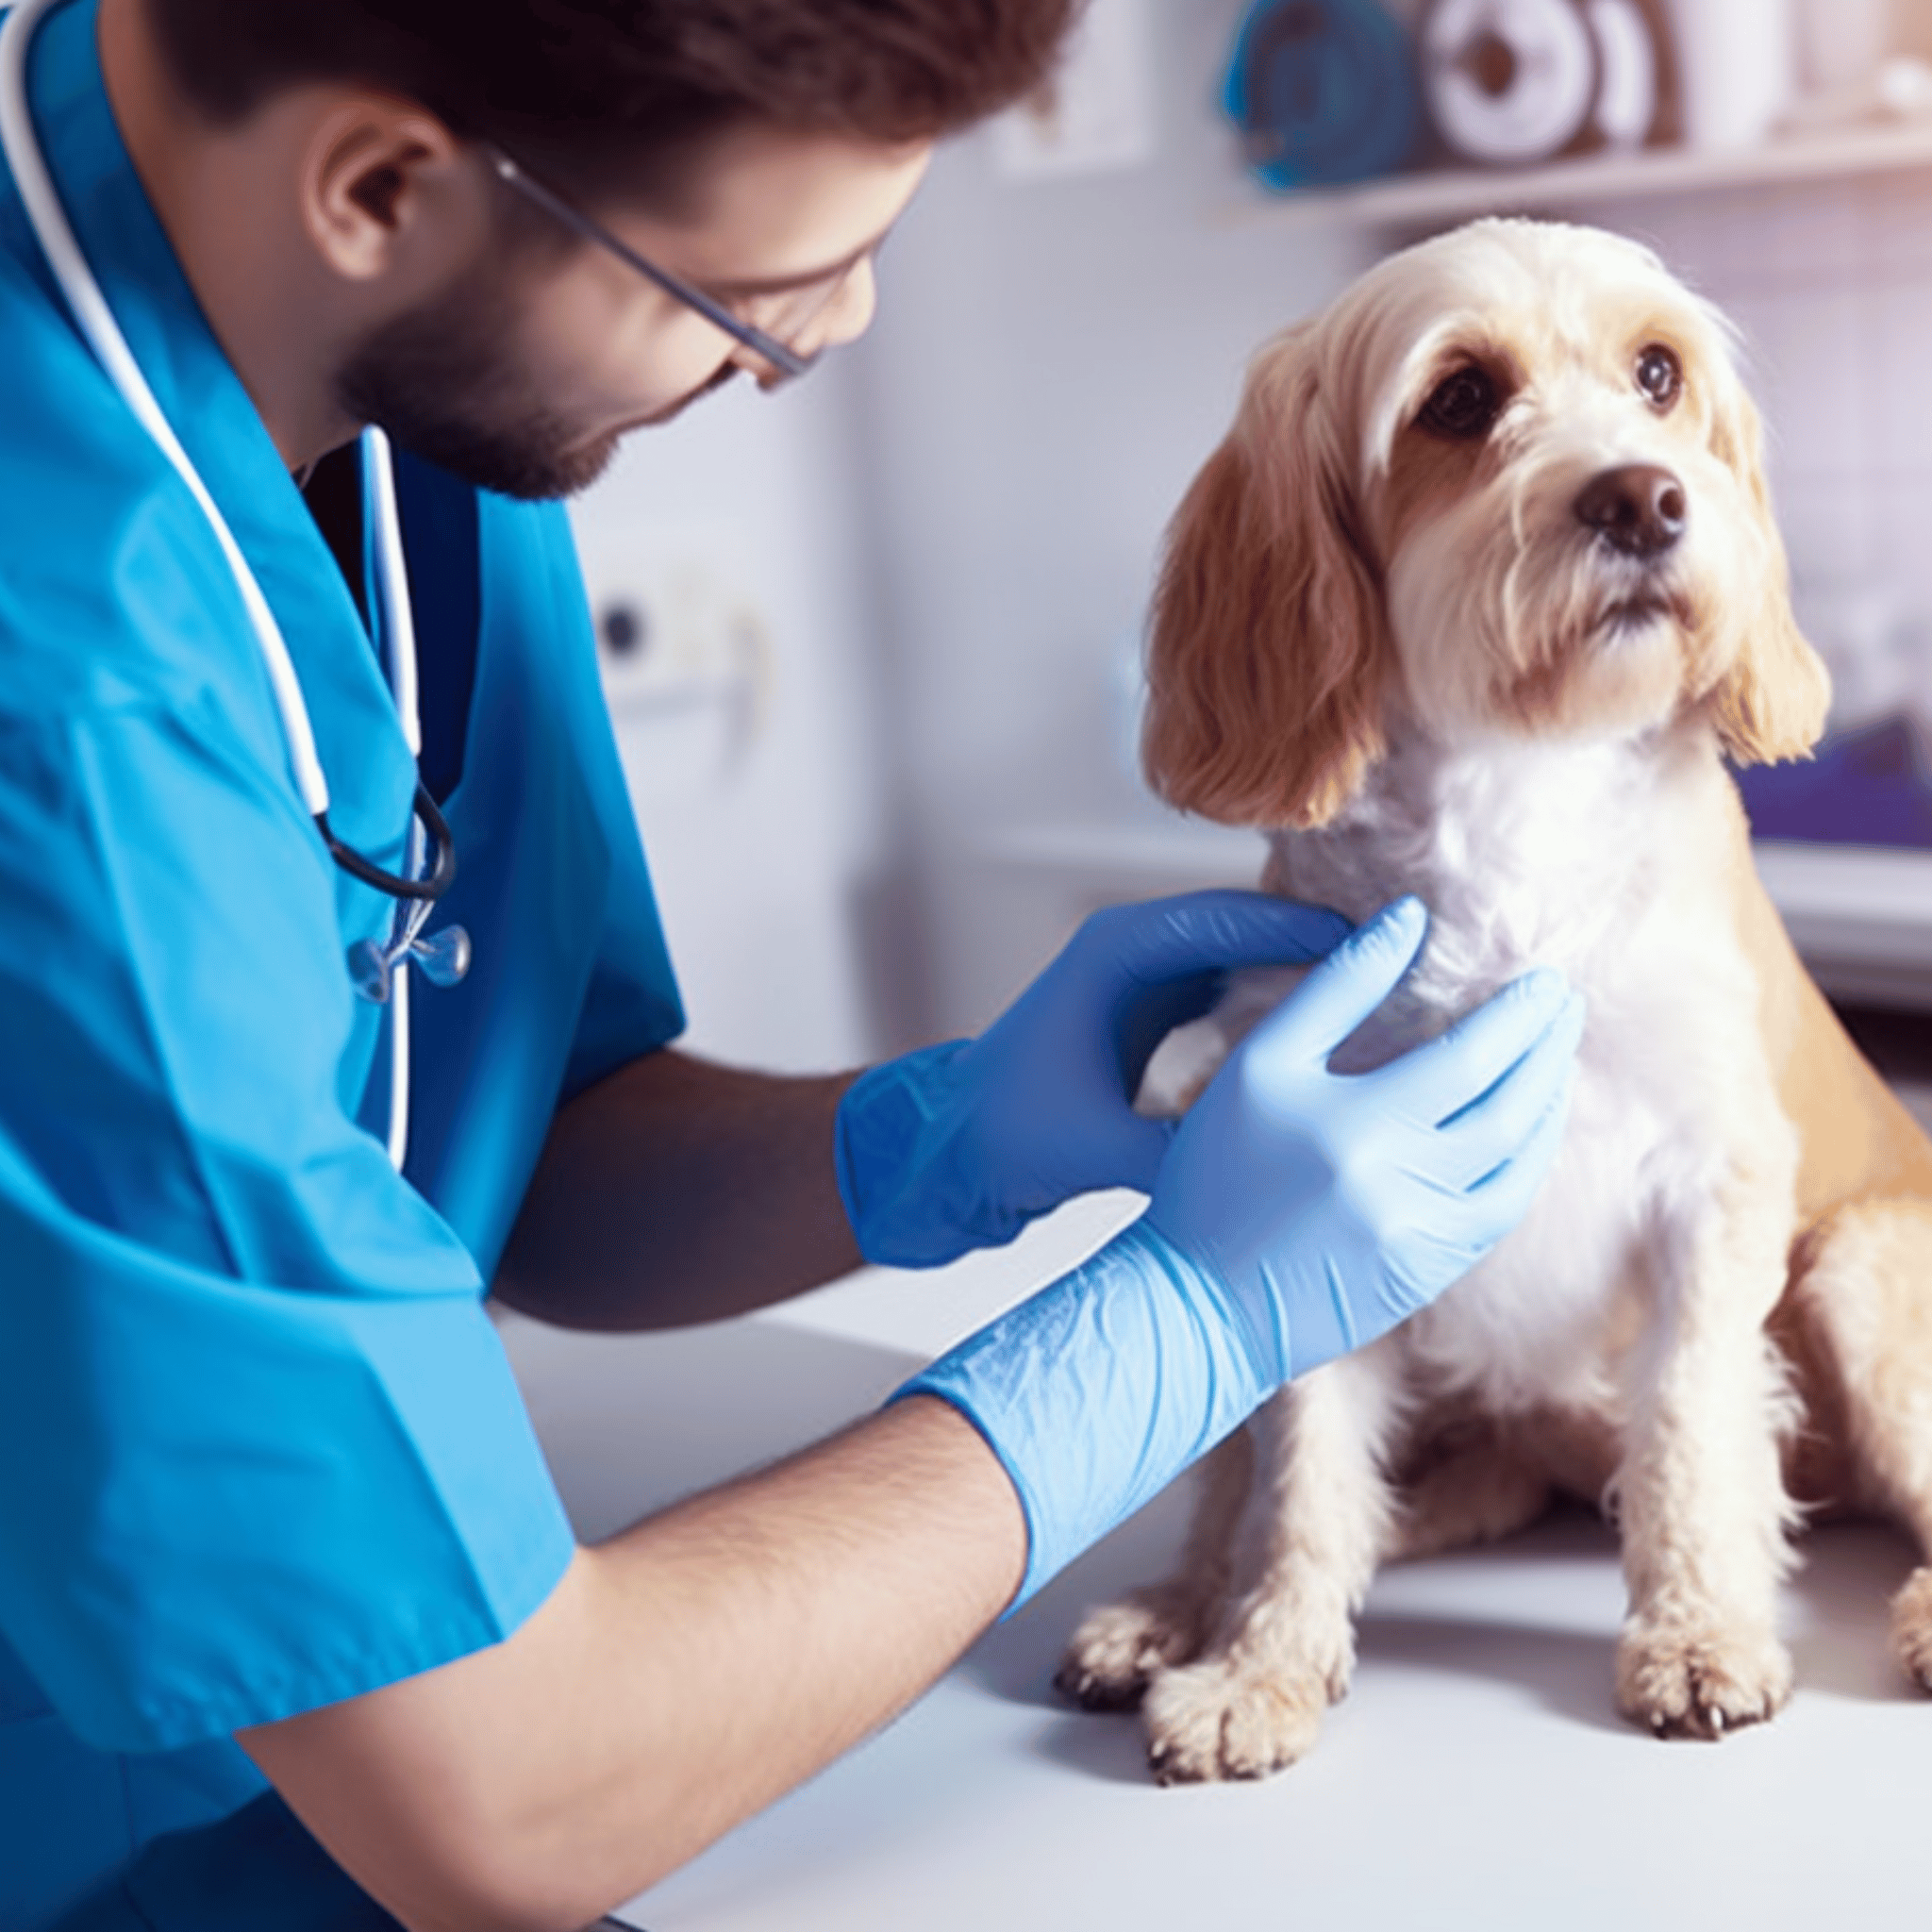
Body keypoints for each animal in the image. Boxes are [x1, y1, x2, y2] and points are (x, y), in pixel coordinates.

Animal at [1058, 215, 1932, 1777]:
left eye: (1658, 376)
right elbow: (1301, 1487)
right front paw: (1262, 1669)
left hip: (1858, 1270)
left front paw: (1699, 1634)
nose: (1646, 498)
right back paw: (1174, 1610)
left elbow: (1691, 1426)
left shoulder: (1715, 1188)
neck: (1516, 801)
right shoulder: (1317, 1225)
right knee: (1258, 1492)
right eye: (1459, 399)